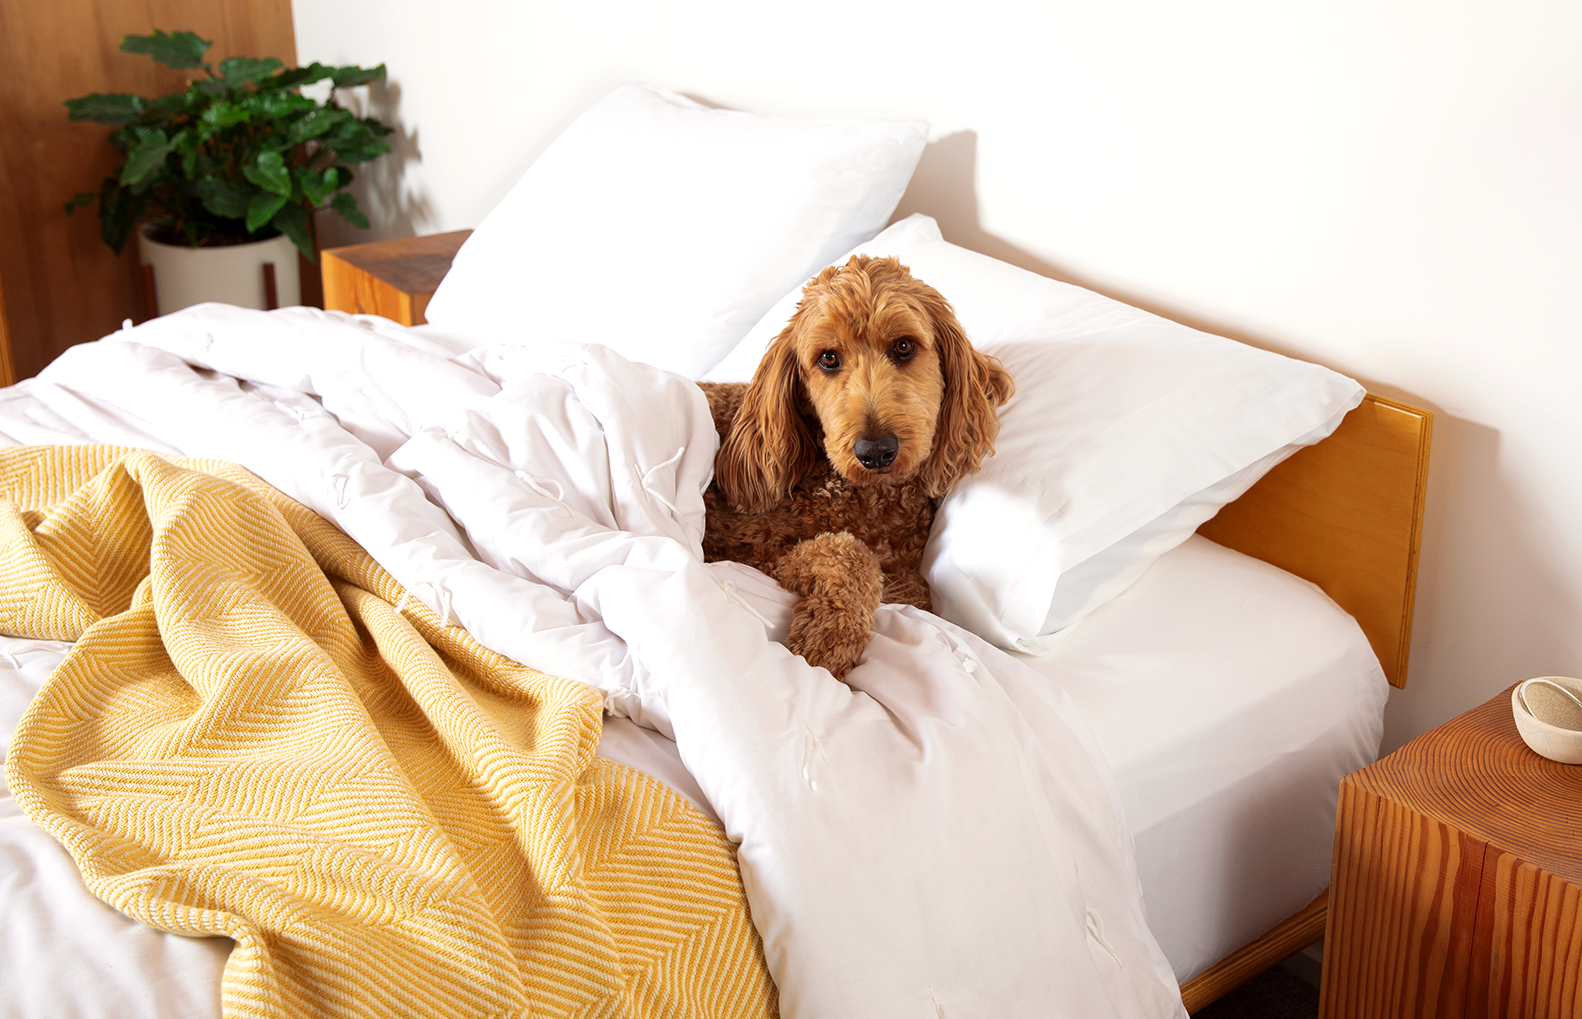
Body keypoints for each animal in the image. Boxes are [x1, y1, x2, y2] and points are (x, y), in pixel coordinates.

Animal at [702, 254, 1012, 680]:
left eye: (903, 346)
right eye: (828, 358)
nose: (876, 451)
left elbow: (914, 593)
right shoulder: (741, 548)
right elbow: (847, 550)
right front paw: (828, 638)